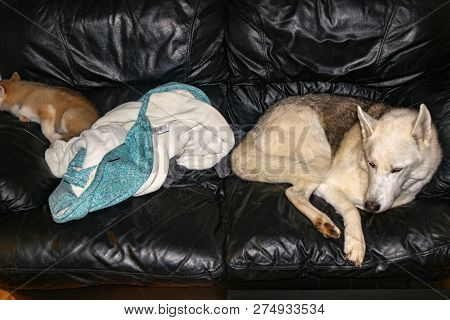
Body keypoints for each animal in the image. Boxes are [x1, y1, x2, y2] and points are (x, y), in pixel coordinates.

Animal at [230, 94, 442, 266]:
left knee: (295, 192)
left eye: (397, 169)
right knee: (292, 192)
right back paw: (325, 221)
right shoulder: (327, 186)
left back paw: (323, 222)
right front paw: (356, 243)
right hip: (321, 158)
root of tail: (253, 132)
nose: (371, 206)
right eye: (372, 164)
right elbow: (352, 210)